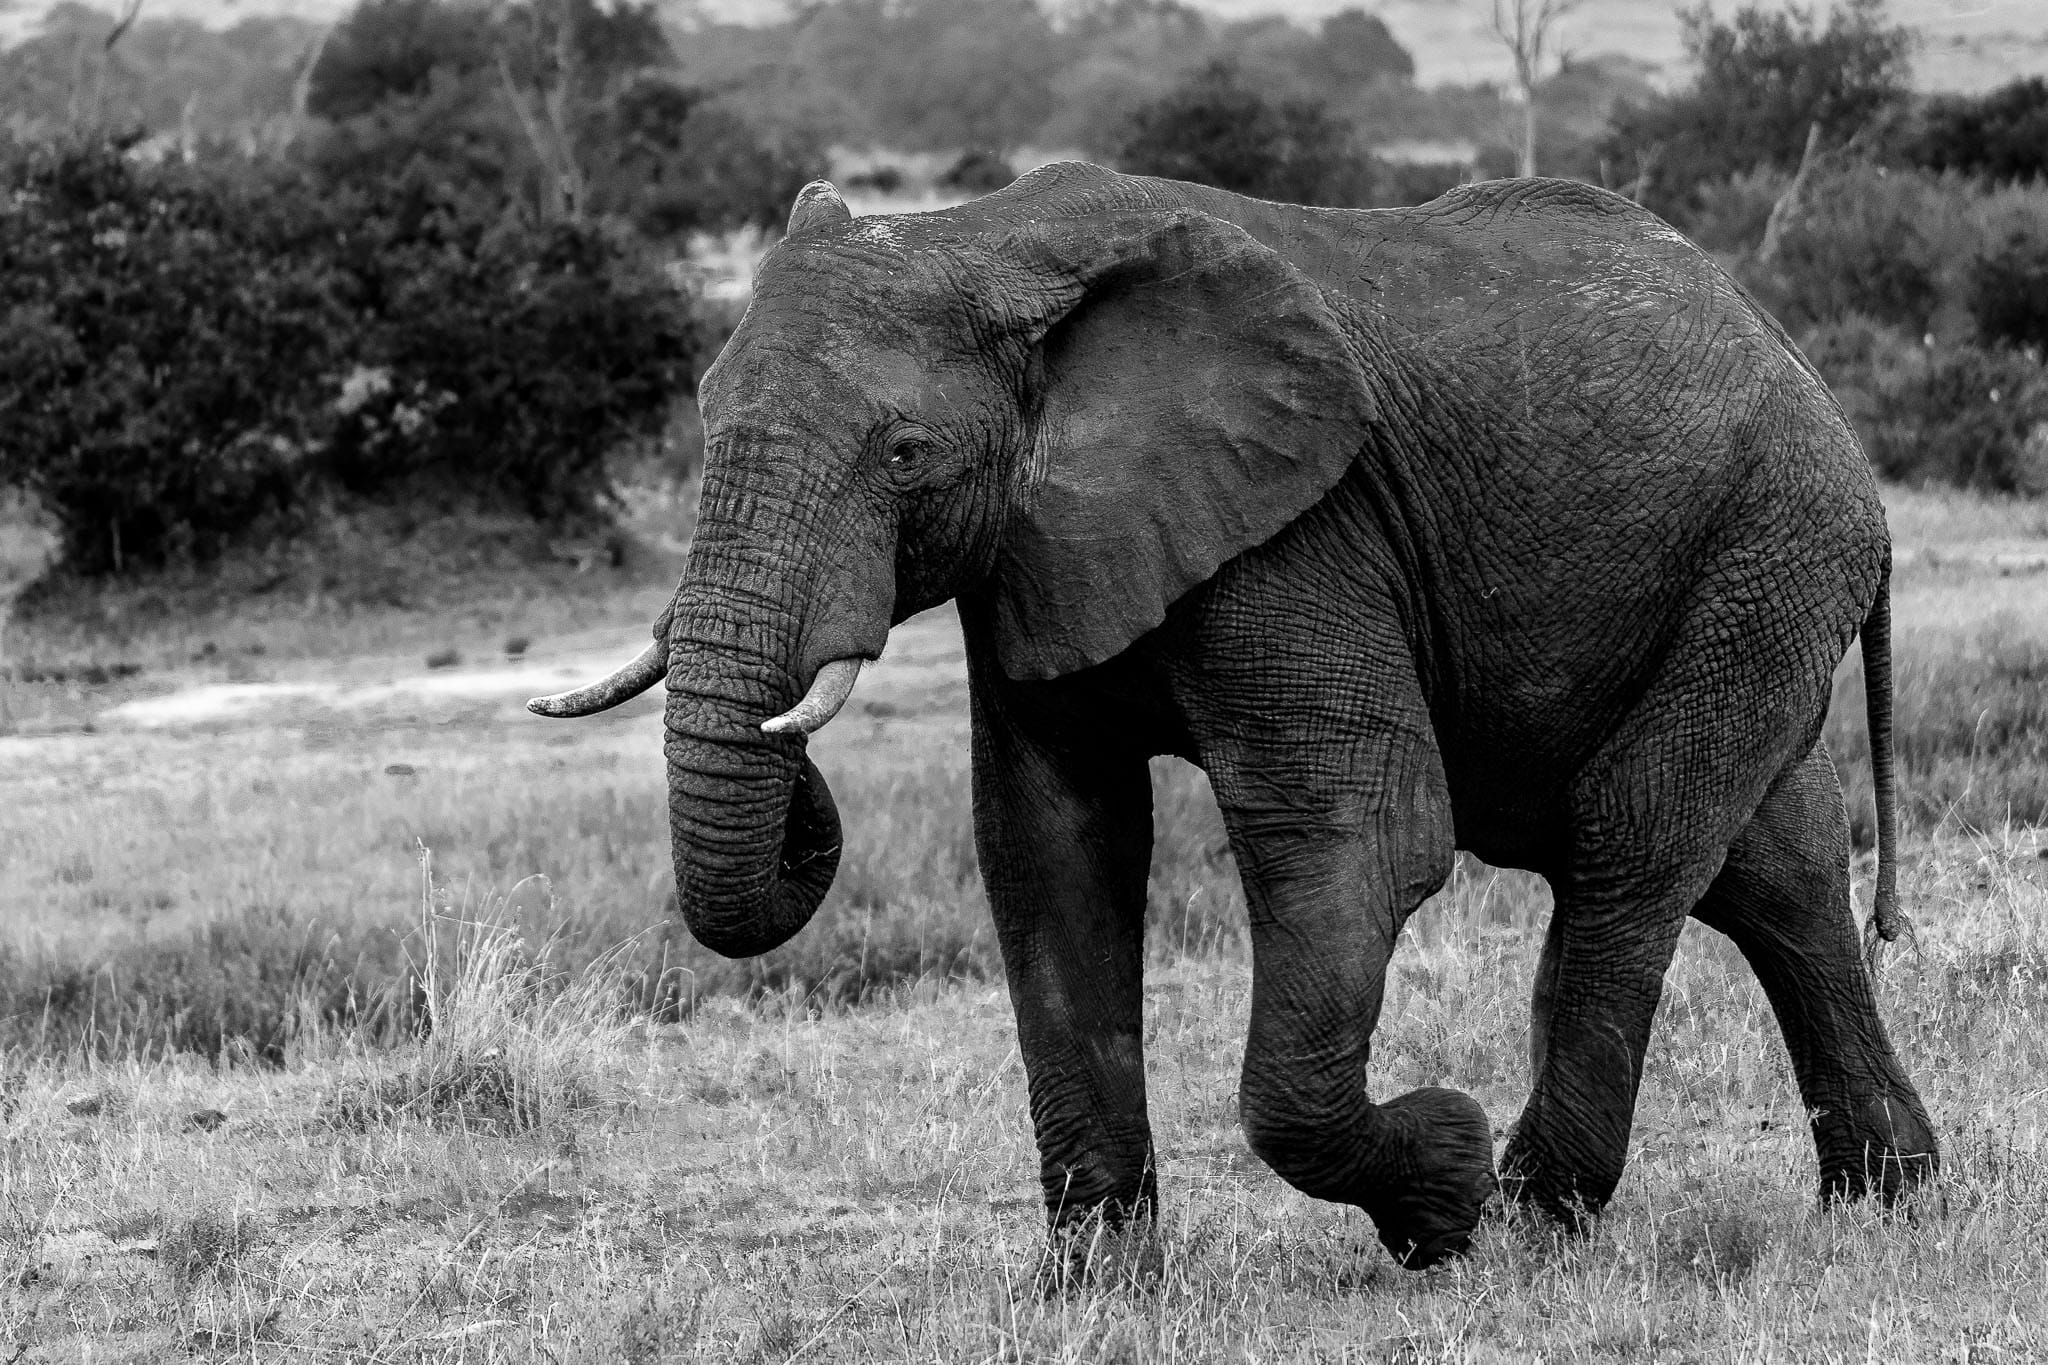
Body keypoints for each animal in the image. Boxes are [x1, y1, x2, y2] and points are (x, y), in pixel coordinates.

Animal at [532, 162, 1938, 1269]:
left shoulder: (1302, 529)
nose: (794, 735)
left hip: (1766, 548)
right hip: (1747, 575)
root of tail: (1791, 355)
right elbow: (1050, 848)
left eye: (903, 455)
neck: (980, 238)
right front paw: (1093, 1288)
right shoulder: (1041, 549)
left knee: (1632, 837)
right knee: (1770, 872)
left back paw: (1537, 1218)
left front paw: (1445, 1188)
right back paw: (1888, 1202)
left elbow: (1357, 838)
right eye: (702, 419)